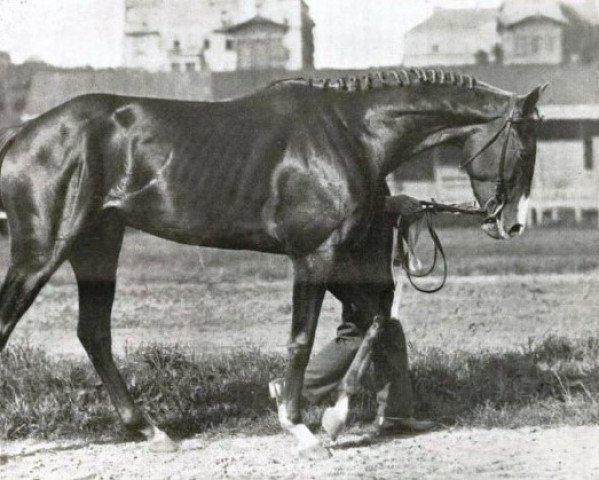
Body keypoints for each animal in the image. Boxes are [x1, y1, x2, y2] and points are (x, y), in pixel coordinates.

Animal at [0, 68, 548, 458]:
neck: (349, 132)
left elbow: (373, 321)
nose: (512, 224)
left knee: (94, 332)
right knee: (15, 321)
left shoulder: (338, 262)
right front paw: (300, 427)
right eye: (524, 150)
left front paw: (334, 419)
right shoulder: (315, 255)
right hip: (43, 250)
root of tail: (20, 137)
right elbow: (302, 340)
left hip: (97, 244)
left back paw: (151, 430)